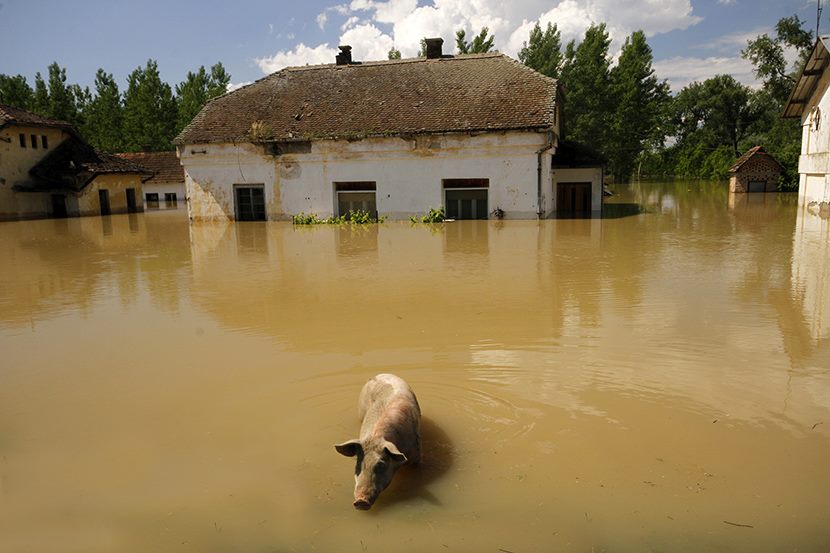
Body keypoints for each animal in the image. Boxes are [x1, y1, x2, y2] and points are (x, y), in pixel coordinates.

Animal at [334, 374, 422, 512]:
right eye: (358, 463)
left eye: (381, 464)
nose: (360, 501)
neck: (376, 437)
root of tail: (382, 374)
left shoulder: (416, 455)